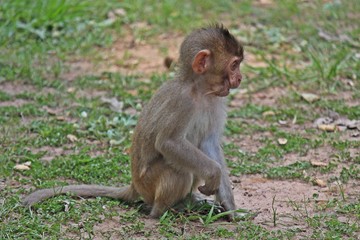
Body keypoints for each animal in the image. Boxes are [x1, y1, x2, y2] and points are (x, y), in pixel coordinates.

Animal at [22, 23, 245, 219]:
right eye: (234, 65)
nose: (240, 78)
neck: (199, 90)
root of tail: (135, 185)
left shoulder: (217, 101)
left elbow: (209, 144)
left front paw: (230, 209)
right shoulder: (182, 102)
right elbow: (168, 143)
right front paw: (214, 174)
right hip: (149, 183)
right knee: (179, 170)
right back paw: (160, 211)